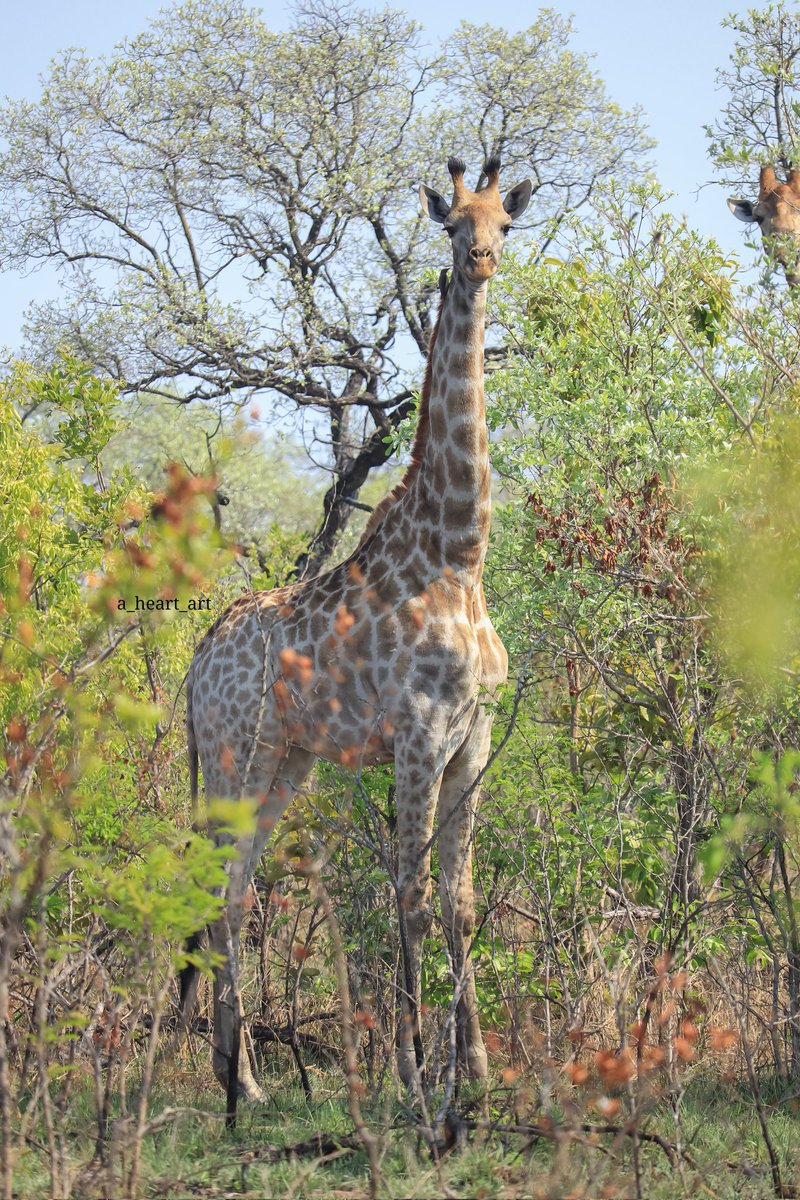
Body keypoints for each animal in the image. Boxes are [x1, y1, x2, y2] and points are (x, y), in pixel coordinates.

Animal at [185, 155, 532, 1103]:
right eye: (451, 224)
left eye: (506, 223)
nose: (481, 260)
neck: (459, 557)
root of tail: (193, 666)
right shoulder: (418, 735)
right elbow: (406, 893)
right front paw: (415, 1080)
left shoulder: (472, 738)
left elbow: (458, 901)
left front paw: (476, 1070)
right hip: (234, 754)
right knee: (221, 889)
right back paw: (242, 1084)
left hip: (286, 763)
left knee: (237, 884)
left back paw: (240, 1076)